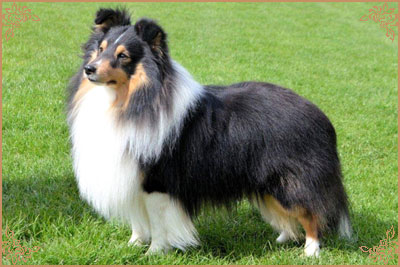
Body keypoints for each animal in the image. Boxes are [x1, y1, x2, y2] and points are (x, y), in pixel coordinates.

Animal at [67, 8, 352, 258]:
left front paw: (154, 253)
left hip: (291, 182)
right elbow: (139, 220)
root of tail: (320, 115)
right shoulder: (132, 176)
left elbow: (158, 223)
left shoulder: (157, 182)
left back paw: (311, 250)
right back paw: (283, 238)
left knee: (311, 213)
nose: (90, 69)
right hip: (269, 184)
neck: (128, 100)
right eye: (100, 49)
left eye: (124, 56)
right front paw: (132, 245)